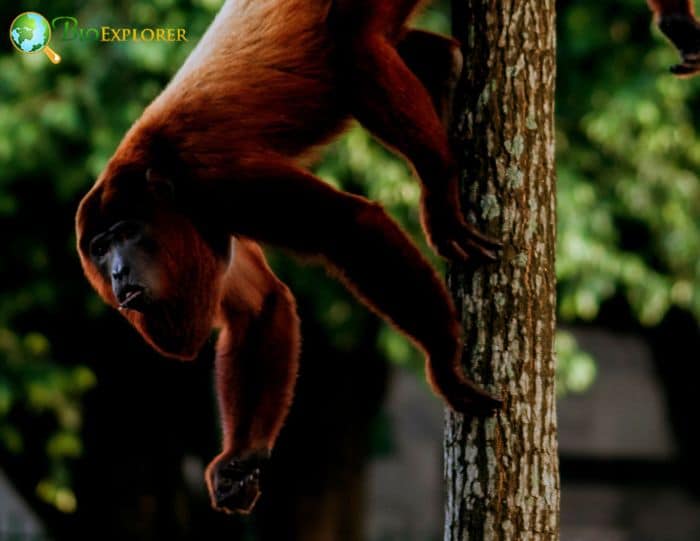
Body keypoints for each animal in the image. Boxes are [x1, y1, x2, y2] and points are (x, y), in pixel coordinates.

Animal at [75, 0, 504, 516]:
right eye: (100, 249)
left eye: (126, 234)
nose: (118, 273)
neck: (158, 178)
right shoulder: (209, 228)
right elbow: (261, 302)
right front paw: (240, 459)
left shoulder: (216, 182)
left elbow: (348, 226)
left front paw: (443, 358)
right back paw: (444, 68)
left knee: (354, 42)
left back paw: (439, 186)